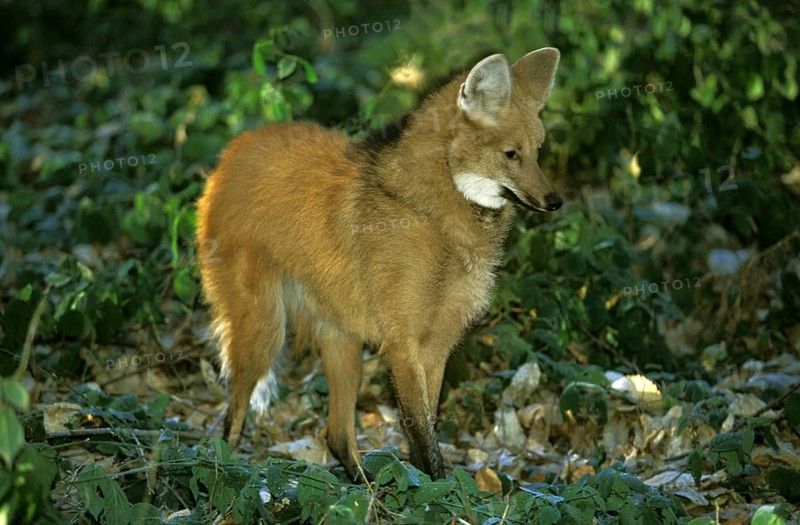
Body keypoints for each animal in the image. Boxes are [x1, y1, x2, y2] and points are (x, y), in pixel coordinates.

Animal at [196, 47, 562, 480]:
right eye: (511, 154)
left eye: (538, 152)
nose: (555, 201)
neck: (435, 217)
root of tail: (232, 151)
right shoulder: (403, 344)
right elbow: (423, 437)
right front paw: (440, 491)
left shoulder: (437, 343)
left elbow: (427, 424)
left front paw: (423, 486)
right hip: (265, 329)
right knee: (232, 417)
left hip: (342, 337)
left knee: (335, 434)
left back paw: (365, 484)